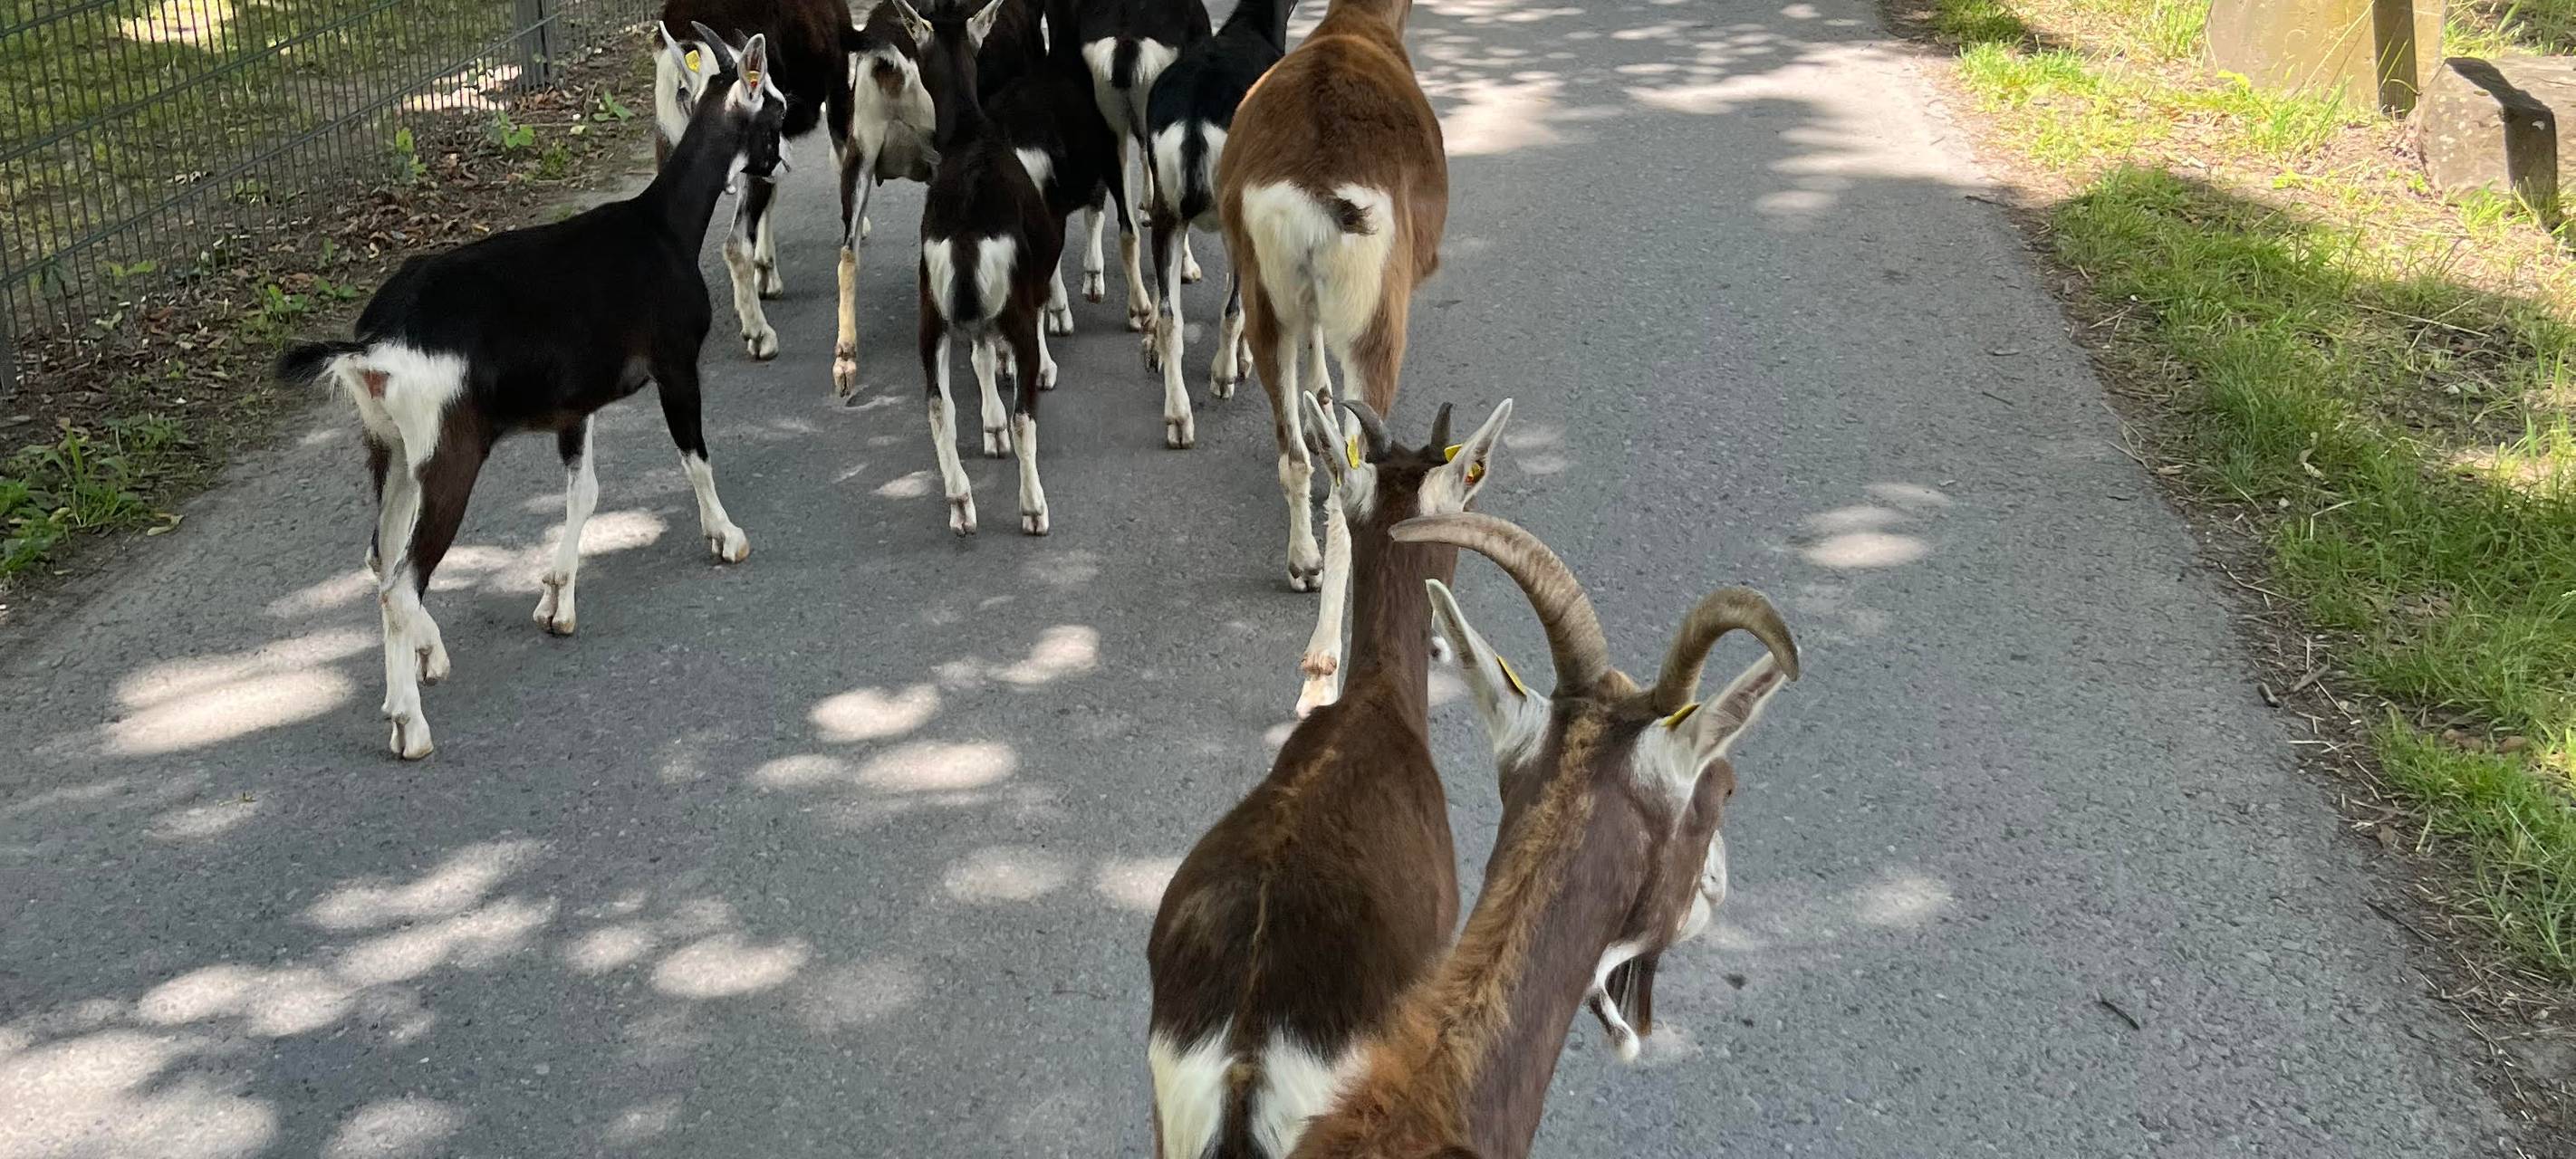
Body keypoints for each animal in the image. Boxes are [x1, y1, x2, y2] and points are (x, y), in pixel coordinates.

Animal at [276, 31, 787, 759]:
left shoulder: (576, 408)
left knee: (381, 558)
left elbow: (584, 495)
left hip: (392, 453)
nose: (784, 161)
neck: (661, 229)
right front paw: (727, 537)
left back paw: (418, 666)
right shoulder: (674, 364)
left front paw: (556, 600)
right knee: (401, 581)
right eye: (775, 104)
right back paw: (411, 721)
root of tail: (373, 345)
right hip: (450, 455)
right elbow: (694, 455)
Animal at [898, 0, 1067, 536]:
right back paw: (1033, 509)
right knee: (1024, 416)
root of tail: (968, 235)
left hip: (929, 312)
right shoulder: (1034, 276)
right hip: (1006, 306)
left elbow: (979, 356)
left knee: (938, 404)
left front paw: (989, 427)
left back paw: (960, 502)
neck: (973, 134)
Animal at [1138, 0, 1298, 450]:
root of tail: (1194, 117)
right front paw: (1242, 362)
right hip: (1234, 216)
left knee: (1171, 316)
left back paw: (1178, 418)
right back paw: (1223, 375)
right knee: (1232, 306)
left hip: (1169, 210)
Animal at [1217, 0, 1445, 716]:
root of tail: (1319, 194)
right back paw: (1321, 670)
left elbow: (1318, 389)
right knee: (1351, 483)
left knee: (1291, 448)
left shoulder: (1307, 311)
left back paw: (1302, 563)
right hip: (1379, 319)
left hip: (1267, 294)